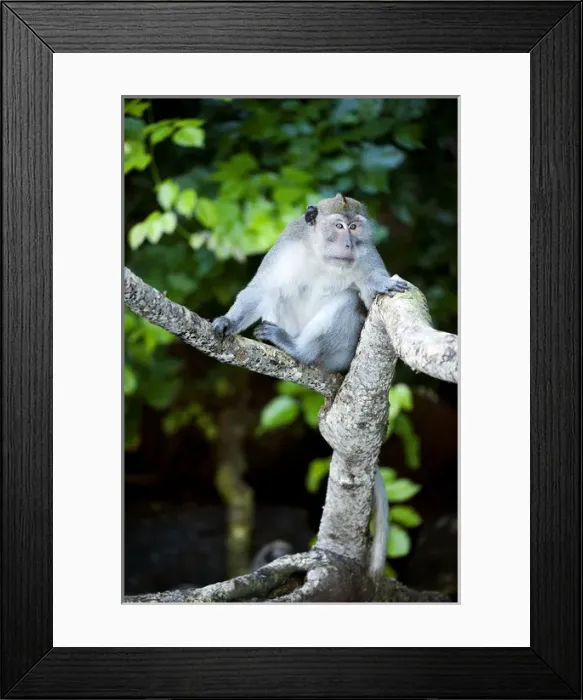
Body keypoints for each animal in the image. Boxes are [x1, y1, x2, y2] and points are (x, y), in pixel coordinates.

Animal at [211, 193, 408, 579]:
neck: (322, 256)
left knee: (346, 301)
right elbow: (260, 289)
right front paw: (227, 321)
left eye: (355, 227)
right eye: (339, 226)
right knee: (277, 293)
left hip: (342, 352)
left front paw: (377, 287)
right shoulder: (287, 245)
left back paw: (300, 350)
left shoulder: (367, 255)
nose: (349, 243)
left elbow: (368, 294)